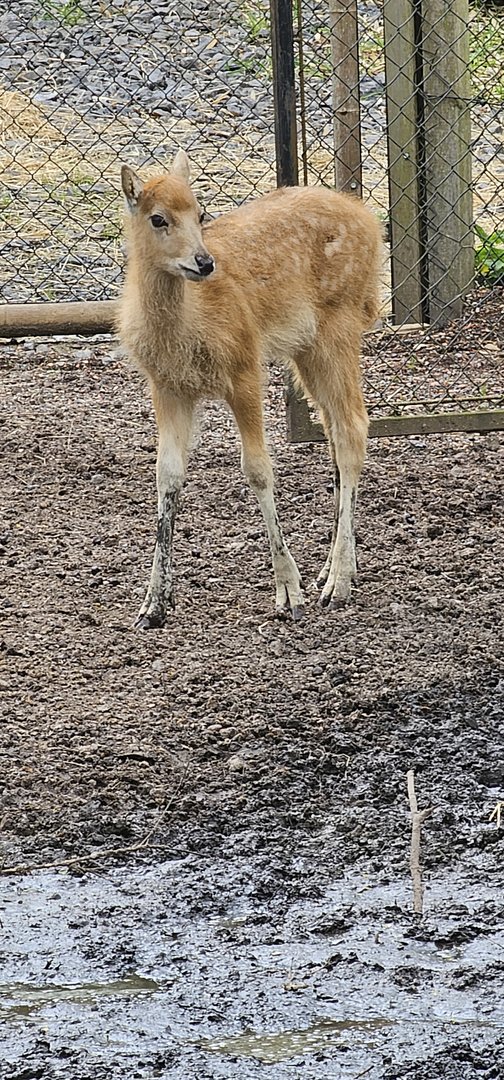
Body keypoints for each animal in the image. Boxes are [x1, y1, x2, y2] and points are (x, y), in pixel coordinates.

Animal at [118, 150, 382, 629]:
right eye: (158, 218)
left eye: (200, 213)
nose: (204, 262)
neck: (189, 326)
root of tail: (372, 223)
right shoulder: (167, 386)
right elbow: (167, 475)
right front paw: (152, 606)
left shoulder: (243, 368)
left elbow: (257, 470)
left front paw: (288, 592)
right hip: (307, 347)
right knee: (334, 431)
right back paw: (332, 571)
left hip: (339, 325)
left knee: (353, 428)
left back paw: (337, 584)